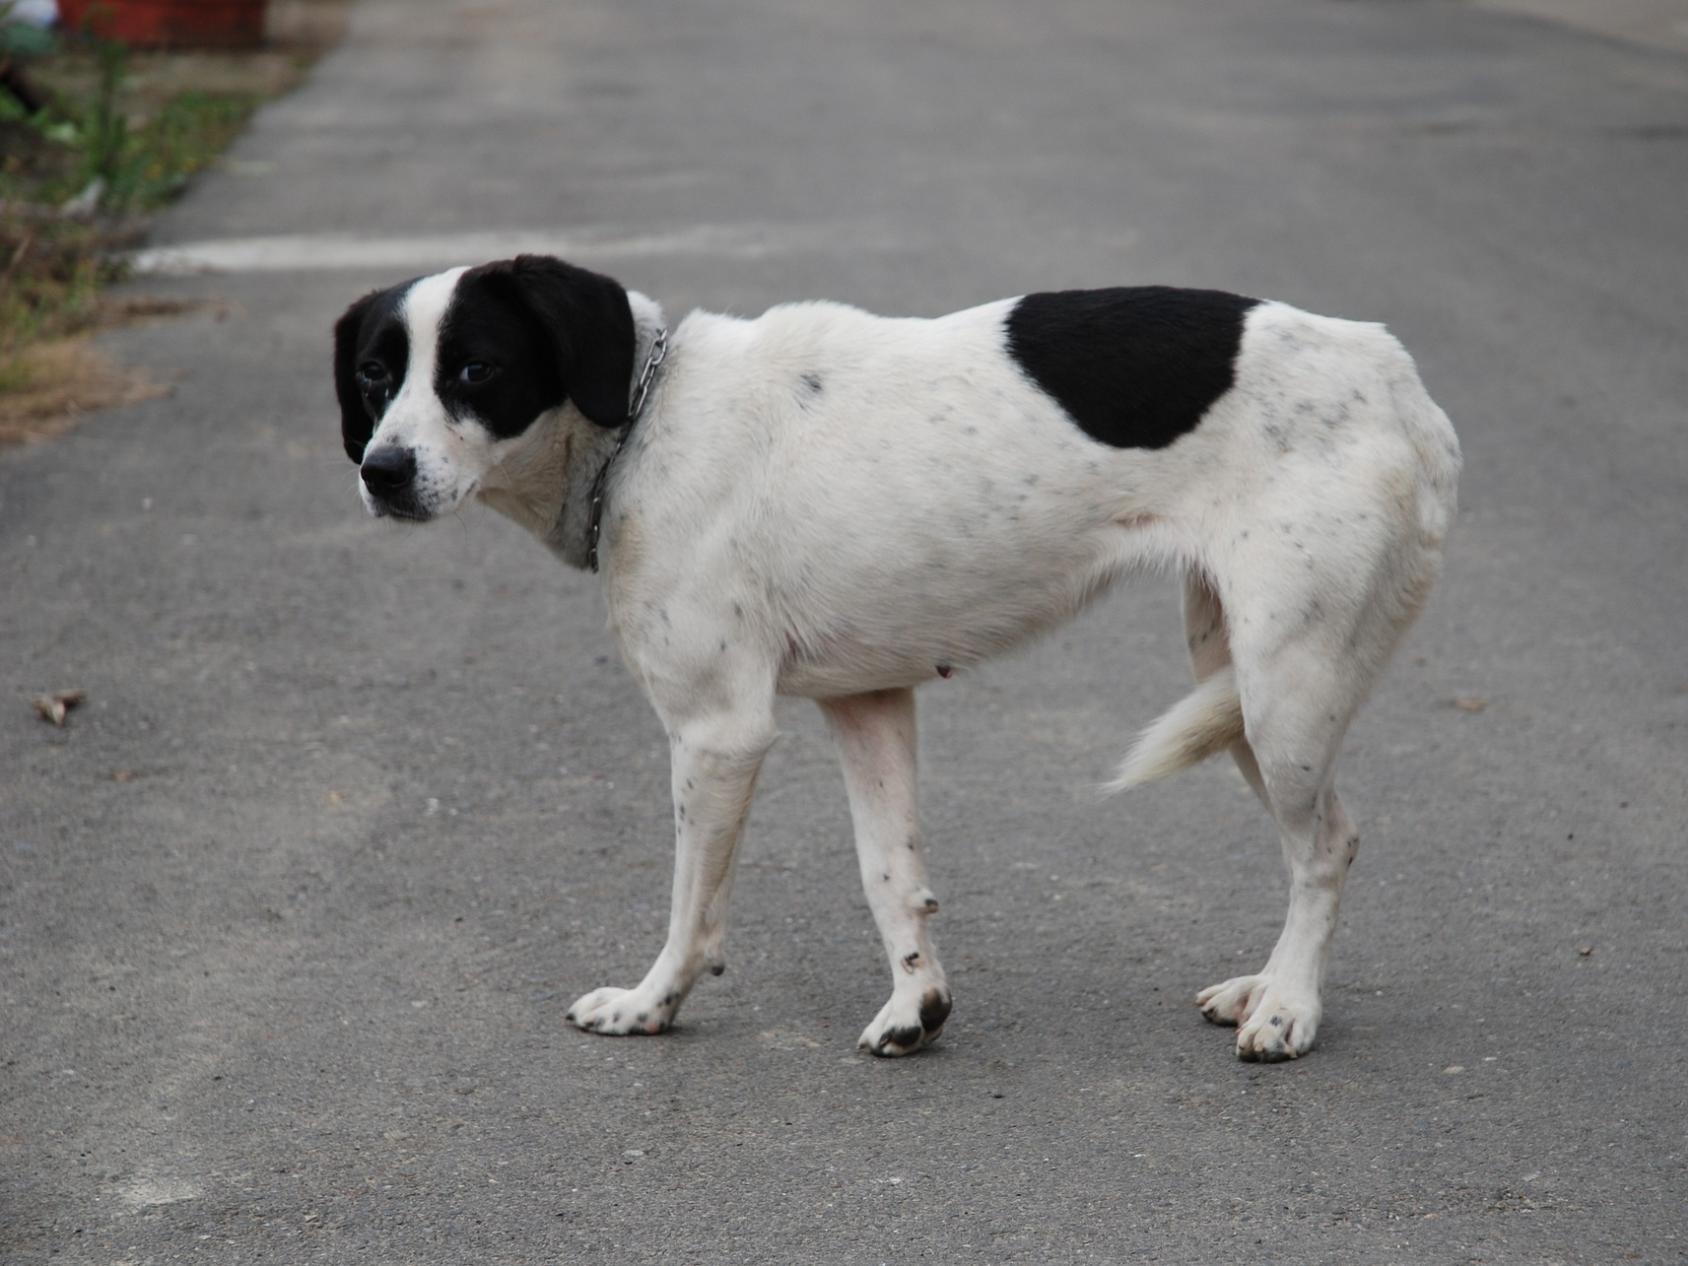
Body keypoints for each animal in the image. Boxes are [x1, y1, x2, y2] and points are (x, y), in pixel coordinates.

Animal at [335, 263, 1458, 1066]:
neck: (644, 421)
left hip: (1284, 695)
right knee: (1314, 841)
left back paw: (1289, 1010)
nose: (380, 473)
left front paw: (650, 1005)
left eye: (476, 370)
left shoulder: (716, 733)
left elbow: (692, 907)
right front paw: (917, 1005)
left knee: (1327, 847)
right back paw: (1260, 986)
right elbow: (890, 876)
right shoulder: (867, 703)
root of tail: (1396, 379)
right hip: (1233, 687)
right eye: (375, 377)